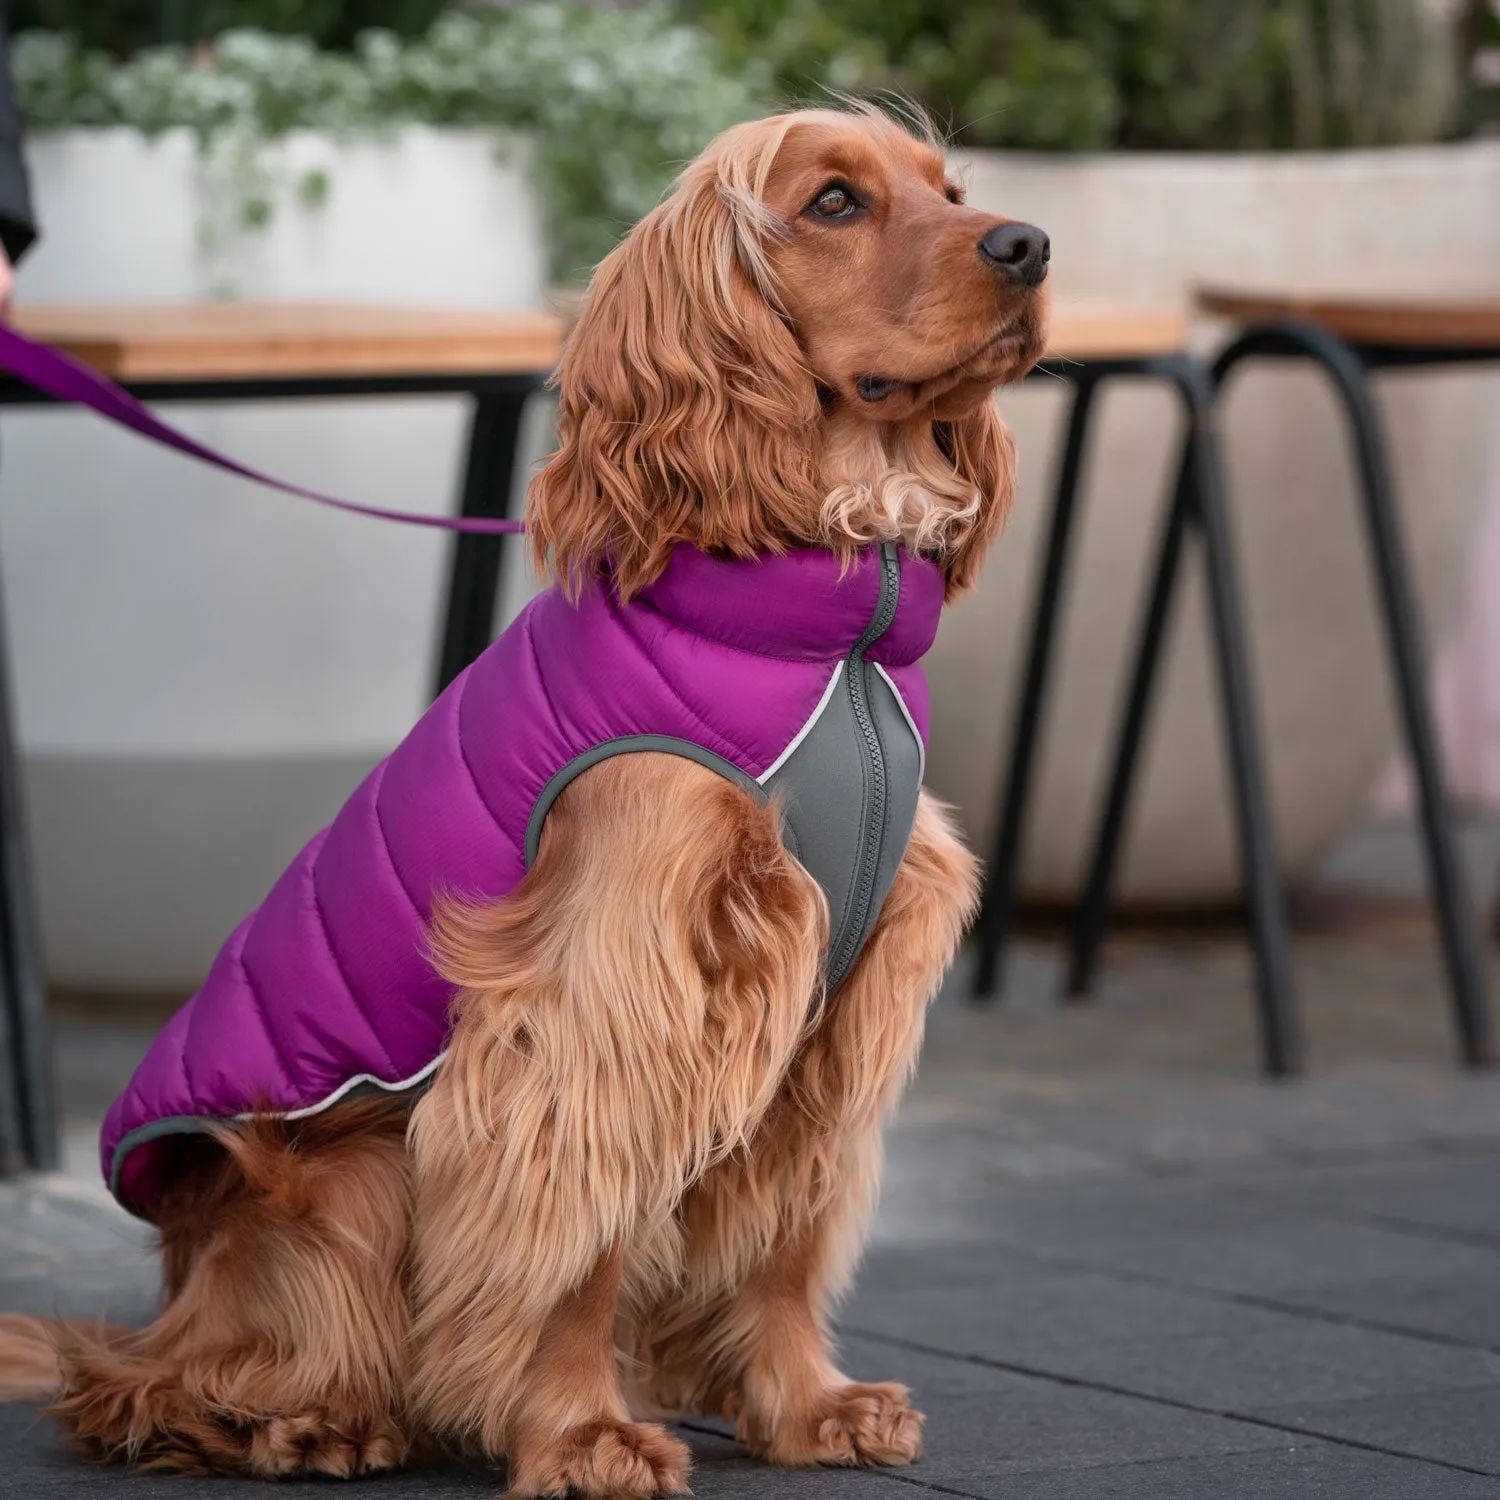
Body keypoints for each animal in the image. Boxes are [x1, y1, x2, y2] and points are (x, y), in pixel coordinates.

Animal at [0, 99, 1050, 1494]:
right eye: (833, 202)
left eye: (954, 190)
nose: (1030, 244)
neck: (833, 629)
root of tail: (175, 1283)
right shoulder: (609, 991)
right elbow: (579, 1239)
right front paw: (582, 1431)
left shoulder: (840, 996)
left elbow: (787, 1225)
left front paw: (806, 1404)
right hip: (344, 1178)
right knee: (145, 1384)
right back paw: (304, 1420)